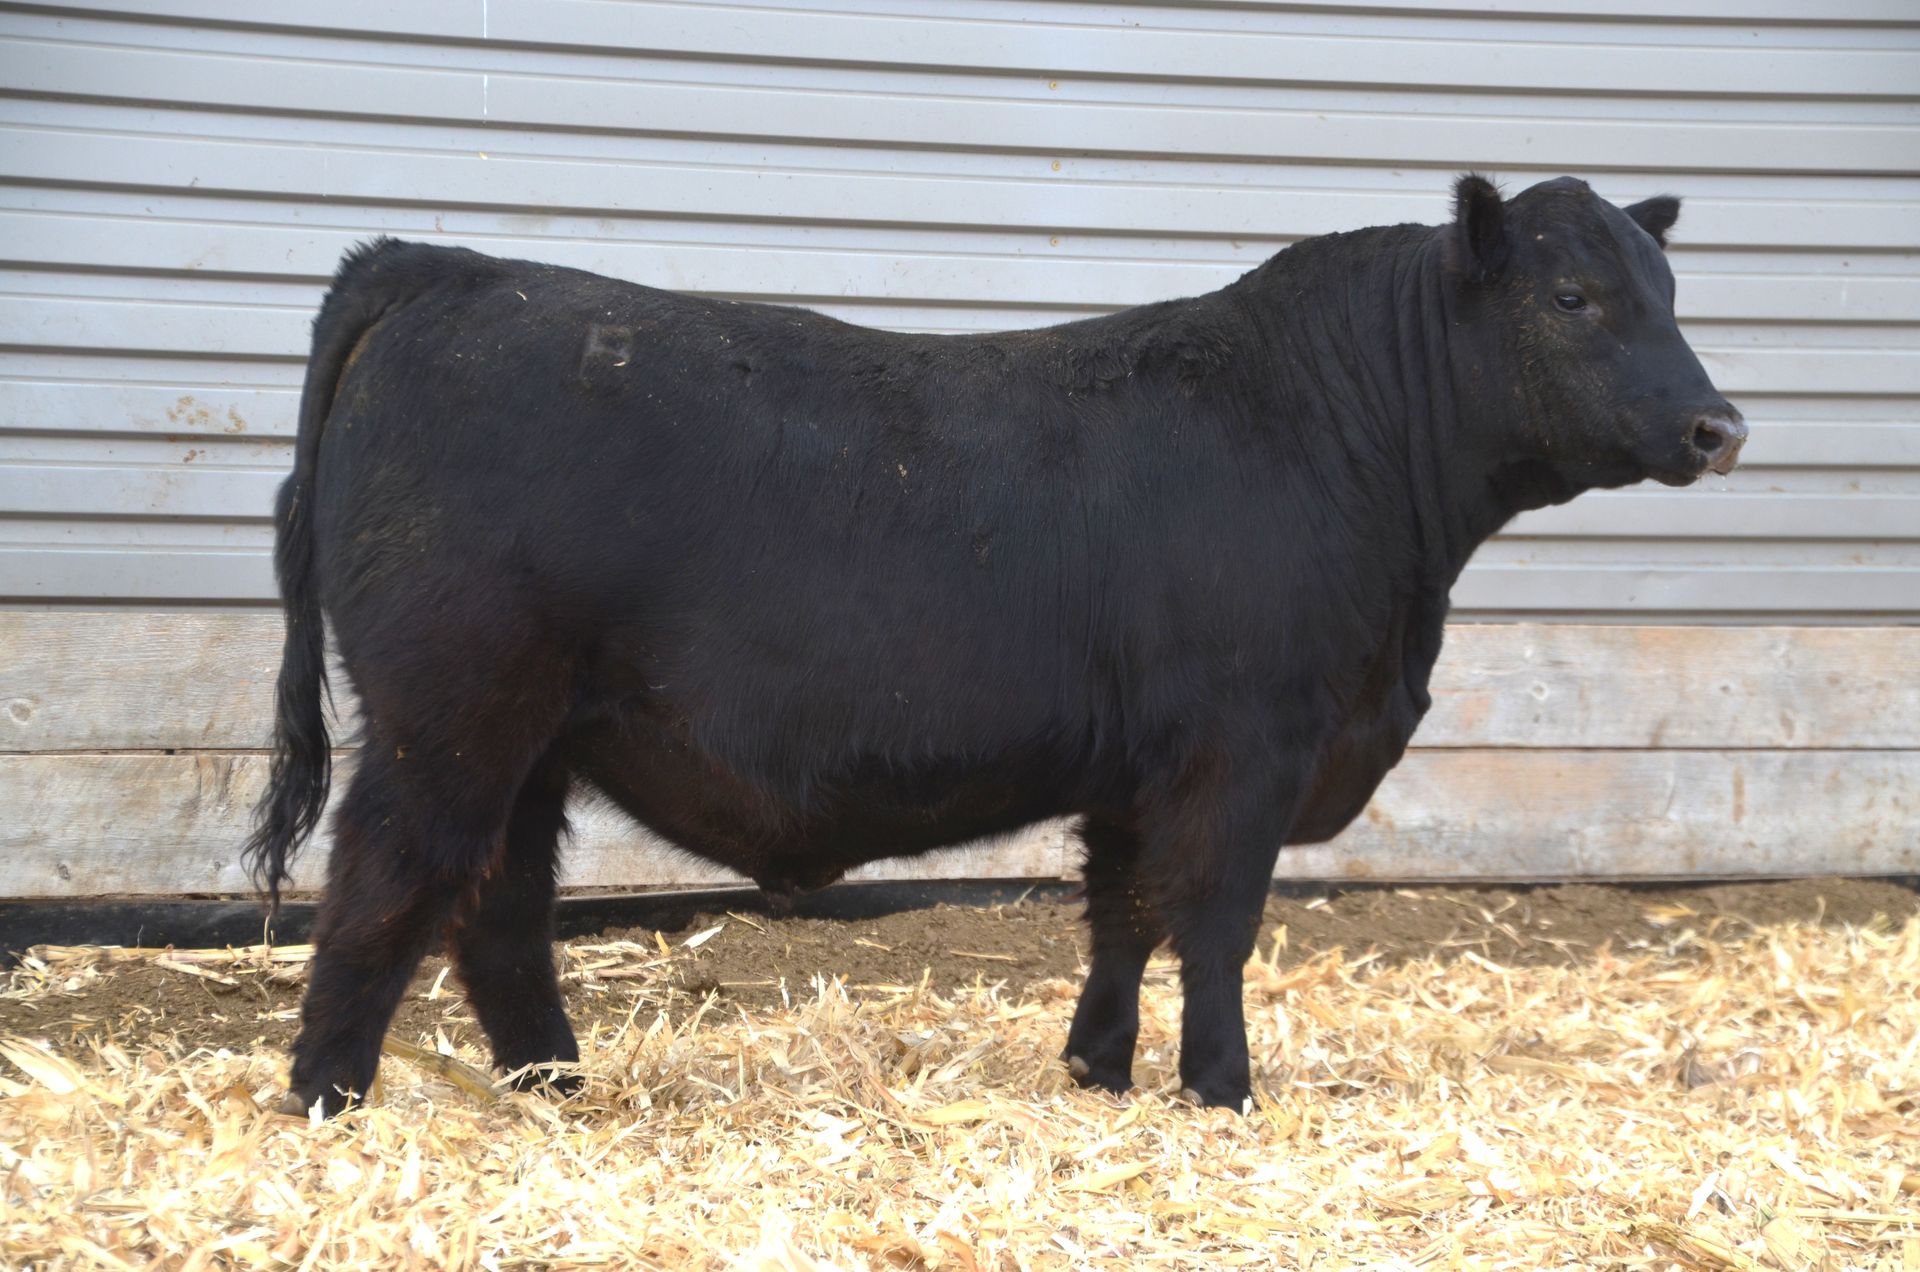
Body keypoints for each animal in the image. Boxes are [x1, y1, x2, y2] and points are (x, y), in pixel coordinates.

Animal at [245, 175, 1743, 1116]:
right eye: (1573, 298)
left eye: (1673, 291)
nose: (1719, 426)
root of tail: (448, 268)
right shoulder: (1246, 744)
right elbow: (1214, 921)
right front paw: (1222, 1091)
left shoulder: (1144, 764)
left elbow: (1124, 915)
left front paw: (1100, 1072)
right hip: (452, 715)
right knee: (387, 886)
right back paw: (329, 1100)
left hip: (533, 738)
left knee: (495, 909)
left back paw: (556, 1088)